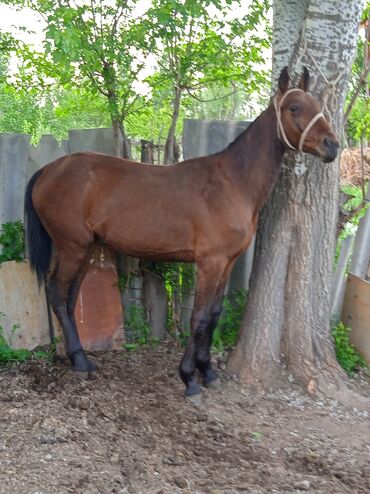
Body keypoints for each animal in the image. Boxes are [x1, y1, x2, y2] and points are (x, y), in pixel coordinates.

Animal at [24, 67, 340, 400]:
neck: (231, 182)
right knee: (57, 293)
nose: (331, 145)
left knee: (69, 298)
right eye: (294, 108)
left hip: (84, 249)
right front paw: (189, 379)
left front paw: (208, 371)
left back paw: (80, 358)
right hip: (72, 247)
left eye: (316, 104)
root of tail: (49, 171)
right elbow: (199, 317)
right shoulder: (210, 263)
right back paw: (80, 362)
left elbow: (213, 315)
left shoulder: (226, 263)